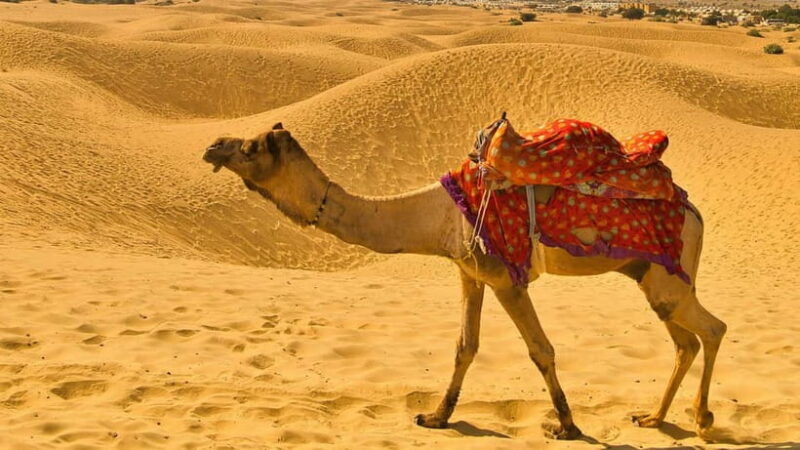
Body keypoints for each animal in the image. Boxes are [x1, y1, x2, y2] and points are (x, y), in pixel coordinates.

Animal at [202, 123, 727, 440]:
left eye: (250, 148)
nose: (212, 145)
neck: (436, 215)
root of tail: (695, 211)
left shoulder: (506, 277)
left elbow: (541, 350)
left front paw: (567, 426)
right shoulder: (468, 273)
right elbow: (464, 346)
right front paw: (436, 416)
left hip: (669, 274)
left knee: (713, 329)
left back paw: (703, 421)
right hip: (650, 275)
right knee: (685, 340)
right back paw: (654, 417)